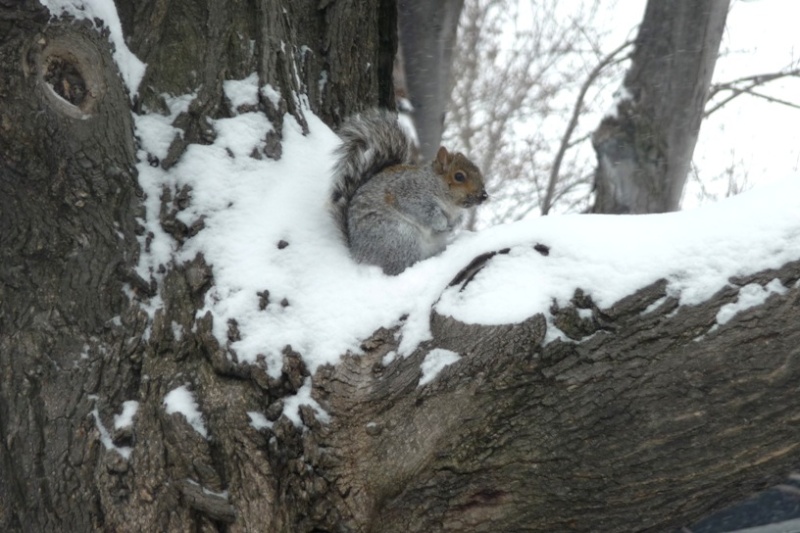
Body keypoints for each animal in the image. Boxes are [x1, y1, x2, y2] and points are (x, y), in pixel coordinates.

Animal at [330, 108, 488, 274]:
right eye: (459, 176)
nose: (484, 195)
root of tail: (358, 254)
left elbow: (458, 219)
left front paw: (455, 225)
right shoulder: (407, 193)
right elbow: (425, 212)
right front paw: (440, 222)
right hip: (400, 238)